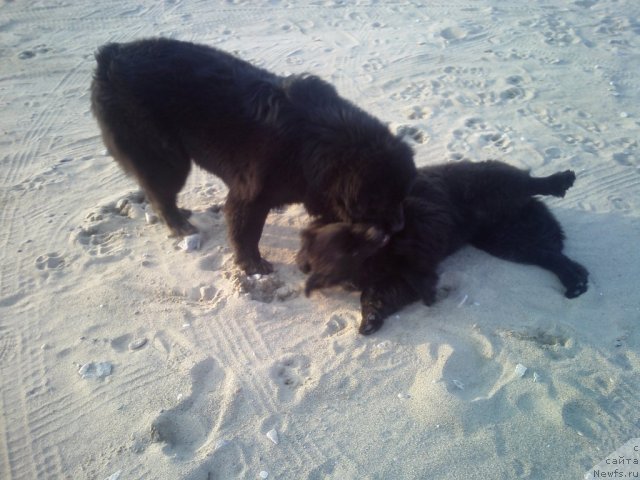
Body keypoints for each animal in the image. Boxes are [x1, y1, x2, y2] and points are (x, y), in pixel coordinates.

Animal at [92, 37, 418, 274]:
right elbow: (246, 234)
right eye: (378, 200)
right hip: (168, 160)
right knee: (160, 194)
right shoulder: (249, 197)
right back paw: (179, 224)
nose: (400, 227)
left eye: (402, 195)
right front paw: (252, 264)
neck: (314, 141)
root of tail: (110, 55)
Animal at [300, 161, 592, 334]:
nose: (377, 233)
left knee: (527, 181)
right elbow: (379, 292)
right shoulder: (390, 278)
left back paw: (559, 180)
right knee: (552, 256)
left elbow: (415, 260)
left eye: (353, 241)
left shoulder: (422, 216)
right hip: (506, 241)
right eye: (350, 250)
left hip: (491, 180)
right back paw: (574, 282)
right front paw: (371, 317)